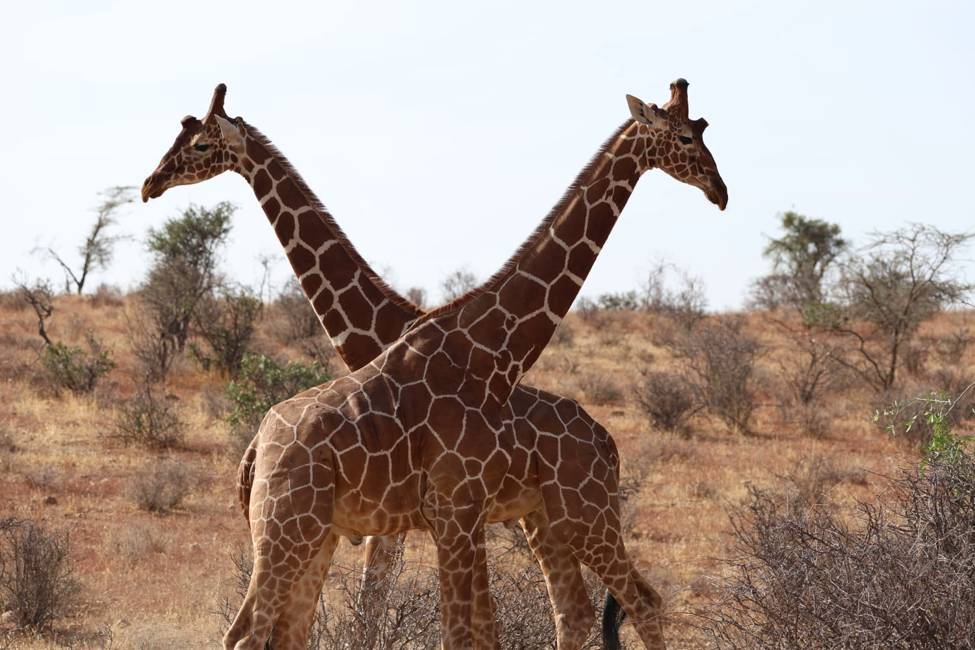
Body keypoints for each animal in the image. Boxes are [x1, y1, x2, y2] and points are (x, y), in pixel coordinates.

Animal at [141, 79, 726, 650]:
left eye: (698, 131)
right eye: (685, 138)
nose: (720, 191)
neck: (488, 352)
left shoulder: (456, 515)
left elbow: (456, 629)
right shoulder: (449, 513)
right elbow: (422, 624)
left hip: (553, 516)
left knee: (608, 606)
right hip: (304, 528)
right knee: (250, 631)